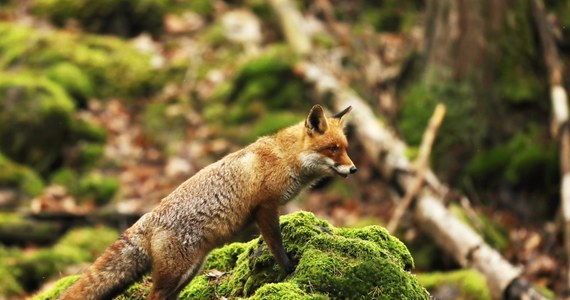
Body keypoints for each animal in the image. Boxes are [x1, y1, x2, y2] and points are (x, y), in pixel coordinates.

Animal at [60, 104, 352, 298]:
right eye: (332, 149)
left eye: (345, 148)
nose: (354, 169)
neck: (284, 157)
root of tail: (146, 219)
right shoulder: (265, 207)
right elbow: (276, 245)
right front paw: (289, 267)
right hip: (175, 273)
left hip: (188, 272)